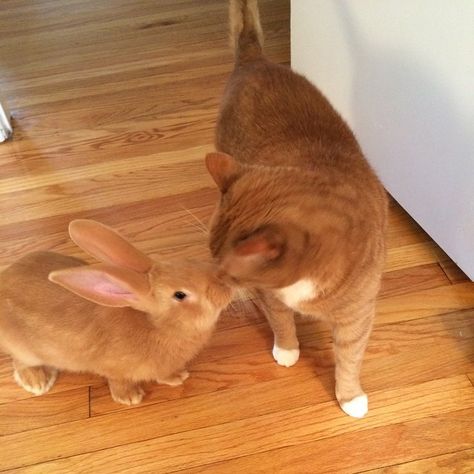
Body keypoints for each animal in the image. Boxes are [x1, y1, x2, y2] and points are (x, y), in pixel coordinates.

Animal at [0, 220, 231, 406]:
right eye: (180, 295)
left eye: (188, 262)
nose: (227, 288)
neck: (159, 326)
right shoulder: (114, 369)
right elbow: (120, 382)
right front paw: (131, 397)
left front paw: (178, 375)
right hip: (25, 350)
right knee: (20, 361)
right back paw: (37, 381)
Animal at [205, 0, 388, 416]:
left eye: (230, 269)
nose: (213, 280)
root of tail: (256, 61)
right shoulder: (271, 298)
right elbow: (282, 323)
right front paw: (288, 351)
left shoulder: (358, 316)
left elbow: (349, 358)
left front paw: (350, 397)